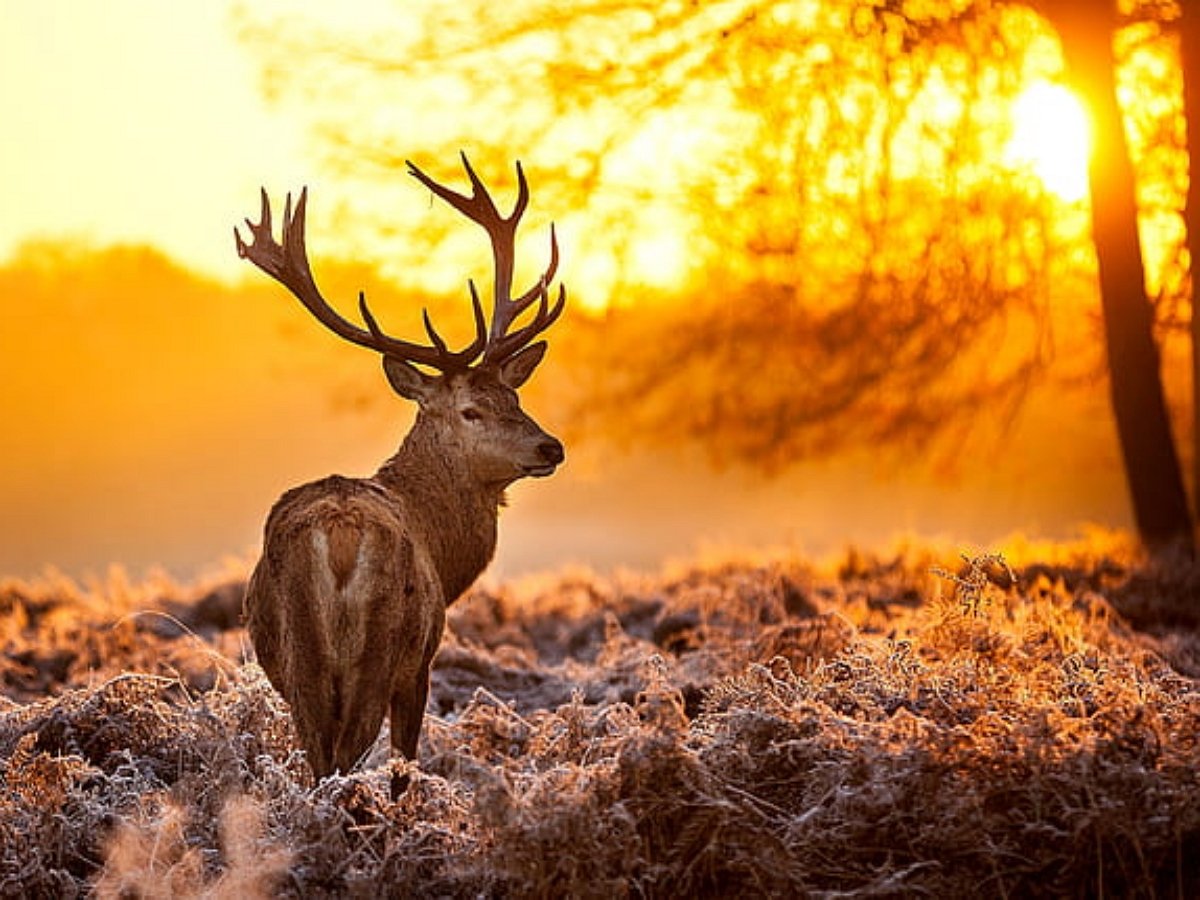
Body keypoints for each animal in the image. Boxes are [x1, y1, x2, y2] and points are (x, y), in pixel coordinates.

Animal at [240, 154, 571, 787]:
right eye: (471, 410)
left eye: (514, 397)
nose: (551, 448)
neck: (444, 550)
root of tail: (340, 536)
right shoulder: (421, 663)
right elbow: (403, 764)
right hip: (381, 650)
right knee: (345, 759)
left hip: (301, 663)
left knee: (319, 763)